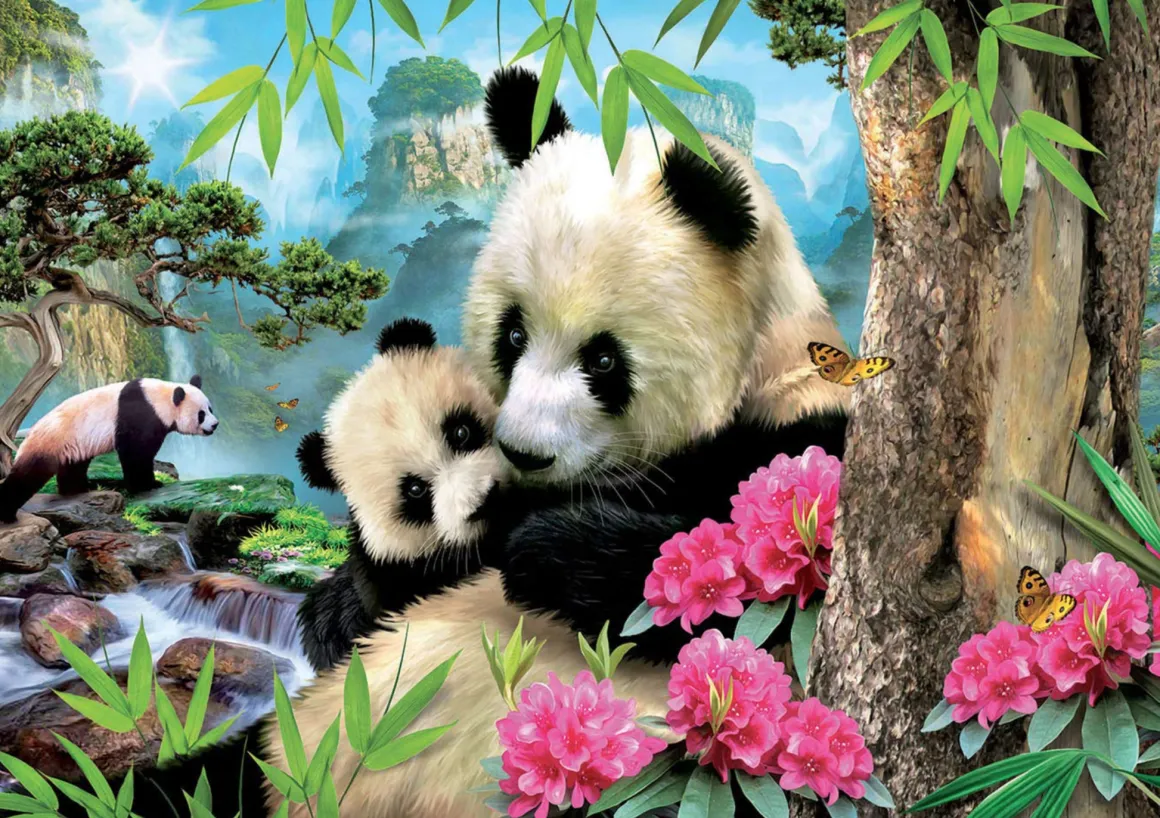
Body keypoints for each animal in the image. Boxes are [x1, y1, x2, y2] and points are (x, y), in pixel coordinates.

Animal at [0, 376, 218, 523]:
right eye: (201, 414)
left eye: (210, 408)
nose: (215, 425)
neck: (160, 398)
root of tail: (29, 434)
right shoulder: (140, 415)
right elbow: (136, 453)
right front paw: (149, 485)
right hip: (51, 441)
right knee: (28, 475)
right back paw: (7, 514)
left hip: (73, 445)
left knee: (73, 467)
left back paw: (79, 489)